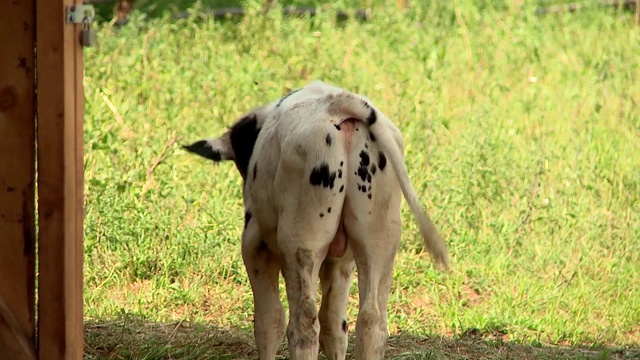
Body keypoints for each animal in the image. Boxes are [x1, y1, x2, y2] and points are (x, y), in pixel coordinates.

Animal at [181, 80, 450, 358]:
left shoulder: (255, 247)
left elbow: (268, 321)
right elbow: (335, 326)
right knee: (370, 322)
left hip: (301, 245)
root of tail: (338, 104)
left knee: (304, 324)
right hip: (378, 242)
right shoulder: (341, 263)